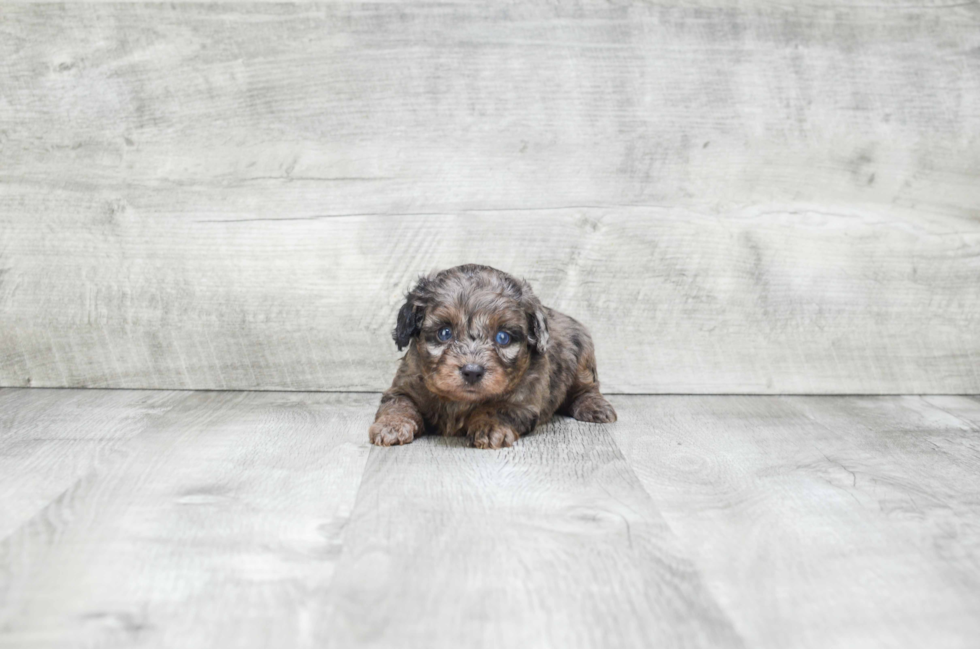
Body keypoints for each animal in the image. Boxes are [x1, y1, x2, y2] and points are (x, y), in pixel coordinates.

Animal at [368, 262, 612, 446]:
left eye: (502, 338)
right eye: (444, 333)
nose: (472, 371)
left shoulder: (524, 401)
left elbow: (499, 408)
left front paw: (490, 426)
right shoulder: (405, 385)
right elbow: (399, 404)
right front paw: (392, 426)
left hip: (582, 359)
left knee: (586, 388)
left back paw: (595, 407)